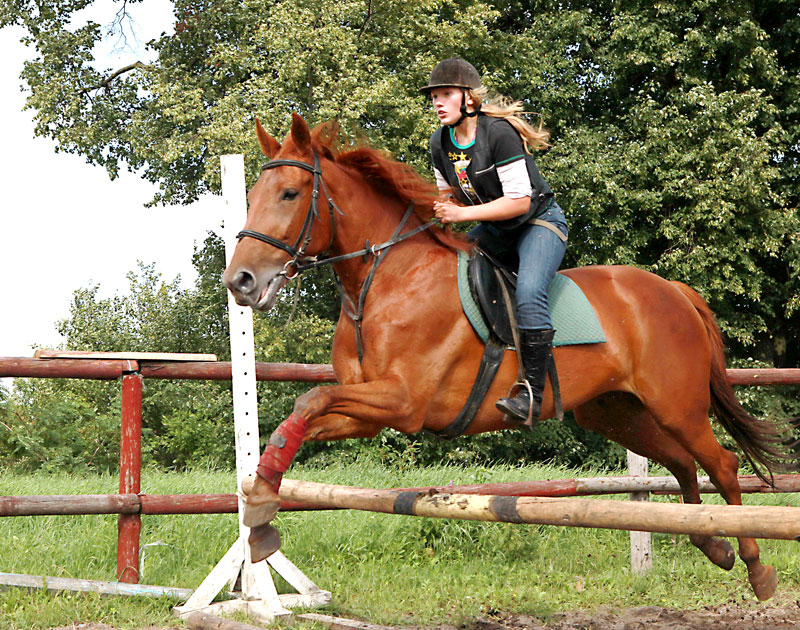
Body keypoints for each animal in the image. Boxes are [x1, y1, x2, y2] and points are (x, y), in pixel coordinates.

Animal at [222, 112, 796, 604]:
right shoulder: (369, 411)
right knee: (681, 463)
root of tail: (673, 290)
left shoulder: (403, 402)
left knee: (721, 463)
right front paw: (262, 513)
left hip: (676, 404)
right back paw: (713, 544)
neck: (384, 280)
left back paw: (754, 566)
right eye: (251, 195)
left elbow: (311, 399)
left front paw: (262, 513)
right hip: (617, 412)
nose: (239, 282)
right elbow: (302, 417)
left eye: (290, 193)